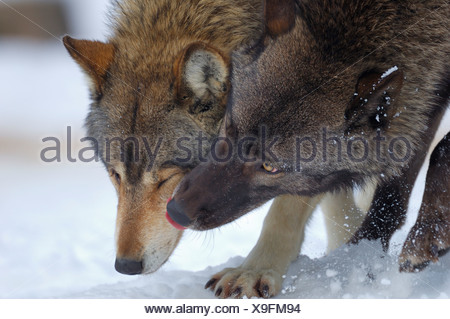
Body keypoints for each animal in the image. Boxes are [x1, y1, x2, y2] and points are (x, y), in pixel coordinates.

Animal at [169, 0, 450, 276]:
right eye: (229, 127)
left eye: (270, 167)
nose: (176, 212)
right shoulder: (430, 93)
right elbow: (396, 181)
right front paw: (362, 251)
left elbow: (440, 152)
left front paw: (425, 238)